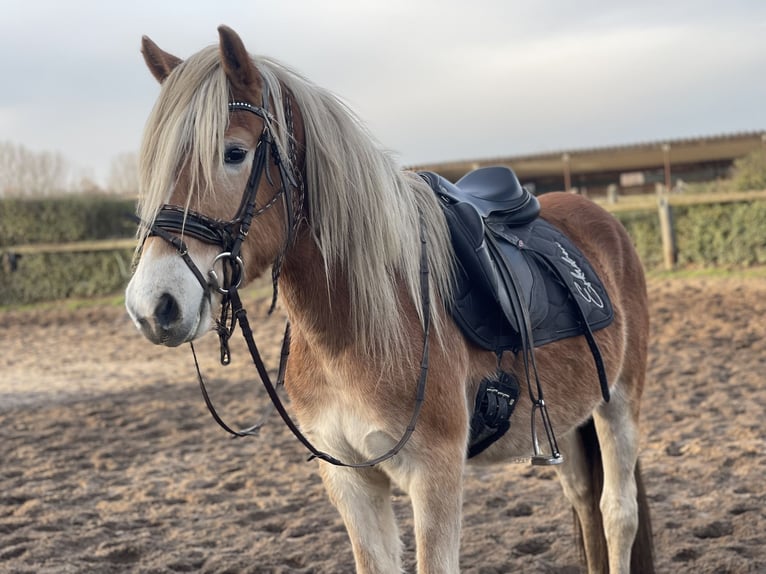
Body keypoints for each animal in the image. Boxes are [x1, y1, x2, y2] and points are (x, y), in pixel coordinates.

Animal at [124, 25, 656, 574]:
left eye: (234, 153)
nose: (153, 305)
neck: (359, 327)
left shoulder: (435, 474)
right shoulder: (350, 481)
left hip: (619, 400)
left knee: (617, 513)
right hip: (567, 422)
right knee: (584, 503)